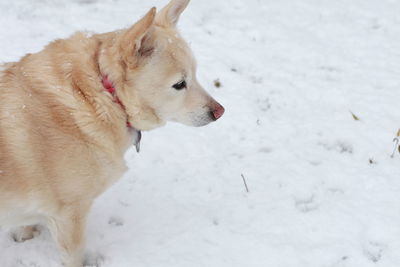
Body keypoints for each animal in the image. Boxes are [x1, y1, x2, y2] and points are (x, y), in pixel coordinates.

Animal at [0, 1, 225, 266]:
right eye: (179, 84)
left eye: (195, 74)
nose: (220, 111)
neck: (103, 94)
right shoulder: (69, 215)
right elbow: (73, 255)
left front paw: (24, 235)